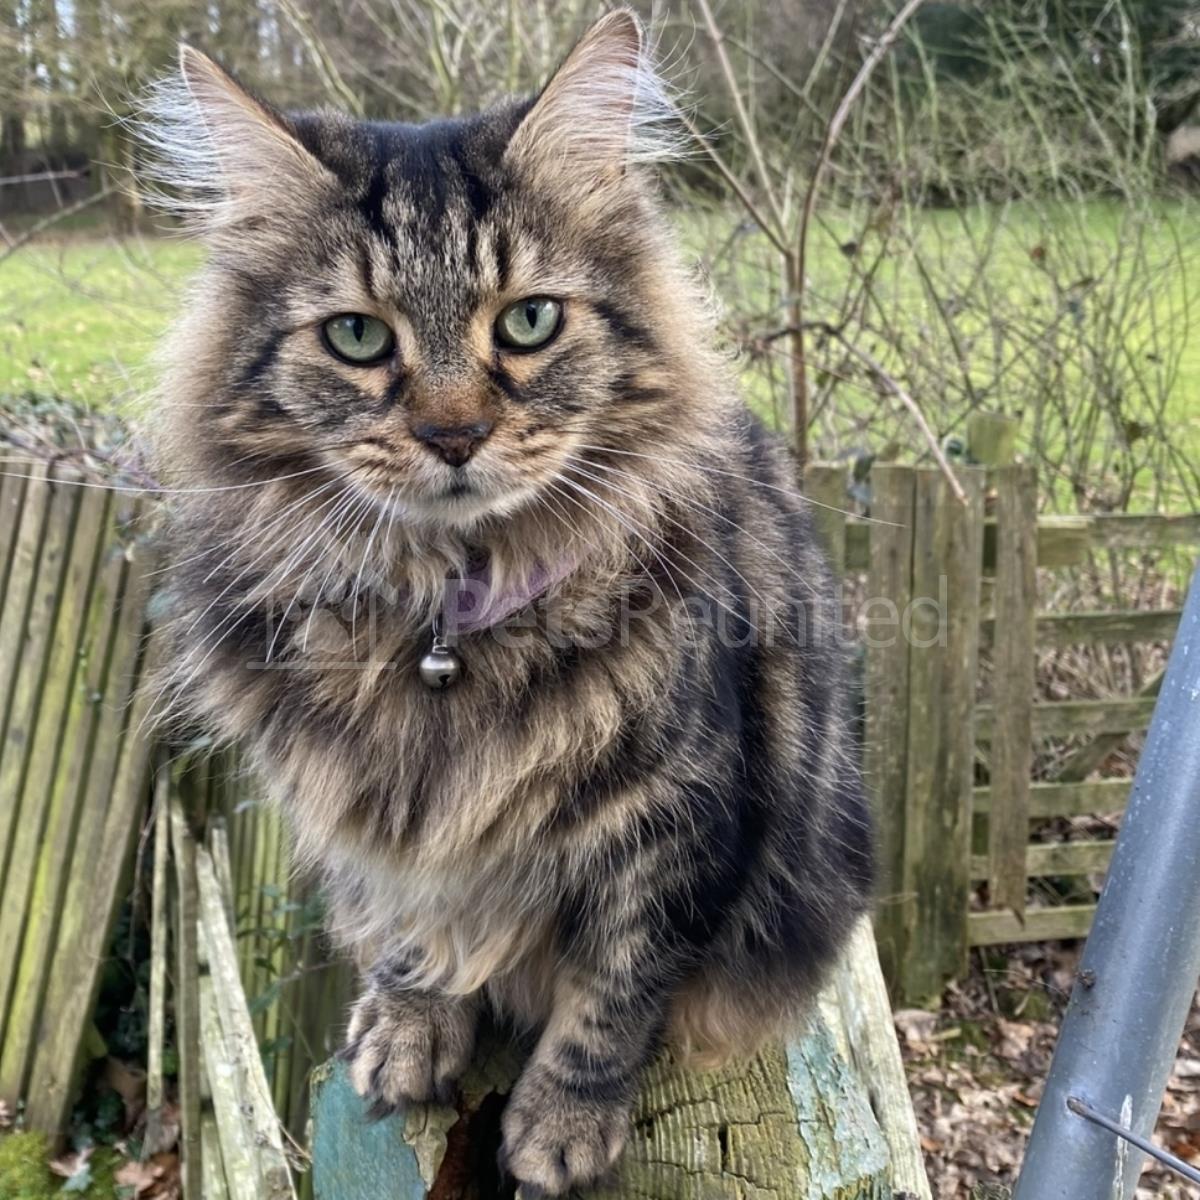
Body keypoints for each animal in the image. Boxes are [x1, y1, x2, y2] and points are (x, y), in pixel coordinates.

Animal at [144, 10, 873, 1194]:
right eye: (357, 337)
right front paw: (407, 1029)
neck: (447, 619)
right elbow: (413, 927)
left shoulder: (679, 822)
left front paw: (561, 1127)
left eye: (528, 322)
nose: (453, 434)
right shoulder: (375, 822)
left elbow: (614, 993)